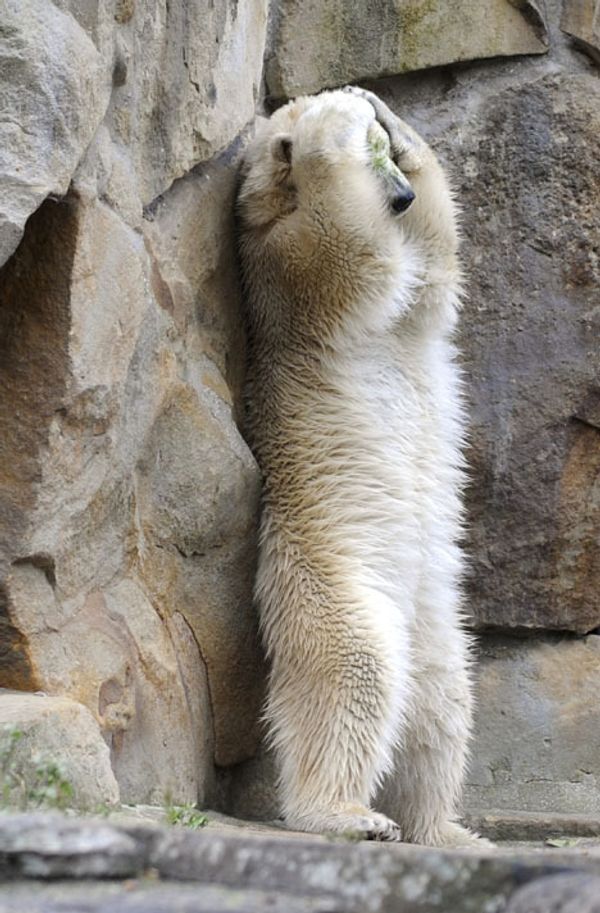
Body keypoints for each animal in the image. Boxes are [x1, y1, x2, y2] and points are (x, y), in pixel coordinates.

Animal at [236, 86, 481, 847]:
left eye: (386, 153)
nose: (399, 195)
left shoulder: (413, 302)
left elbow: (435, 274)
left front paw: (397, 123)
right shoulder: (283, 277)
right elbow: (350, 254)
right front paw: (329, 124)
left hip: (435, 626)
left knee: (440, 707)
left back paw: (445, 827)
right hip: (327, 575)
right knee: (354, 676)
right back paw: (349, 814)